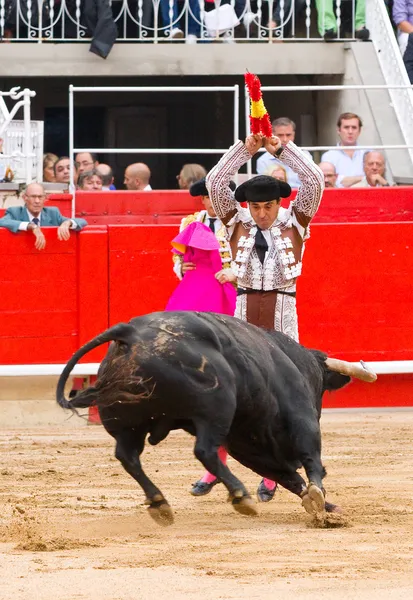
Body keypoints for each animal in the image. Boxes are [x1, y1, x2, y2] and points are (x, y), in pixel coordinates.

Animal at [56, 312, 374, 528]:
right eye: (319, 389)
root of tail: (130, 332)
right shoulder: (300, 420)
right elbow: (311, 462)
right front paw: (321, 500)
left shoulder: (247, 445)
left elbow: (289, 477)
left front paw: (325, 506)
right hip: (216, 407)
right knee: (204, 451)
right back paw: (240, 496)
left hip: (126, 422)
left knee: (128, 456)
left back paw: (160, 504)